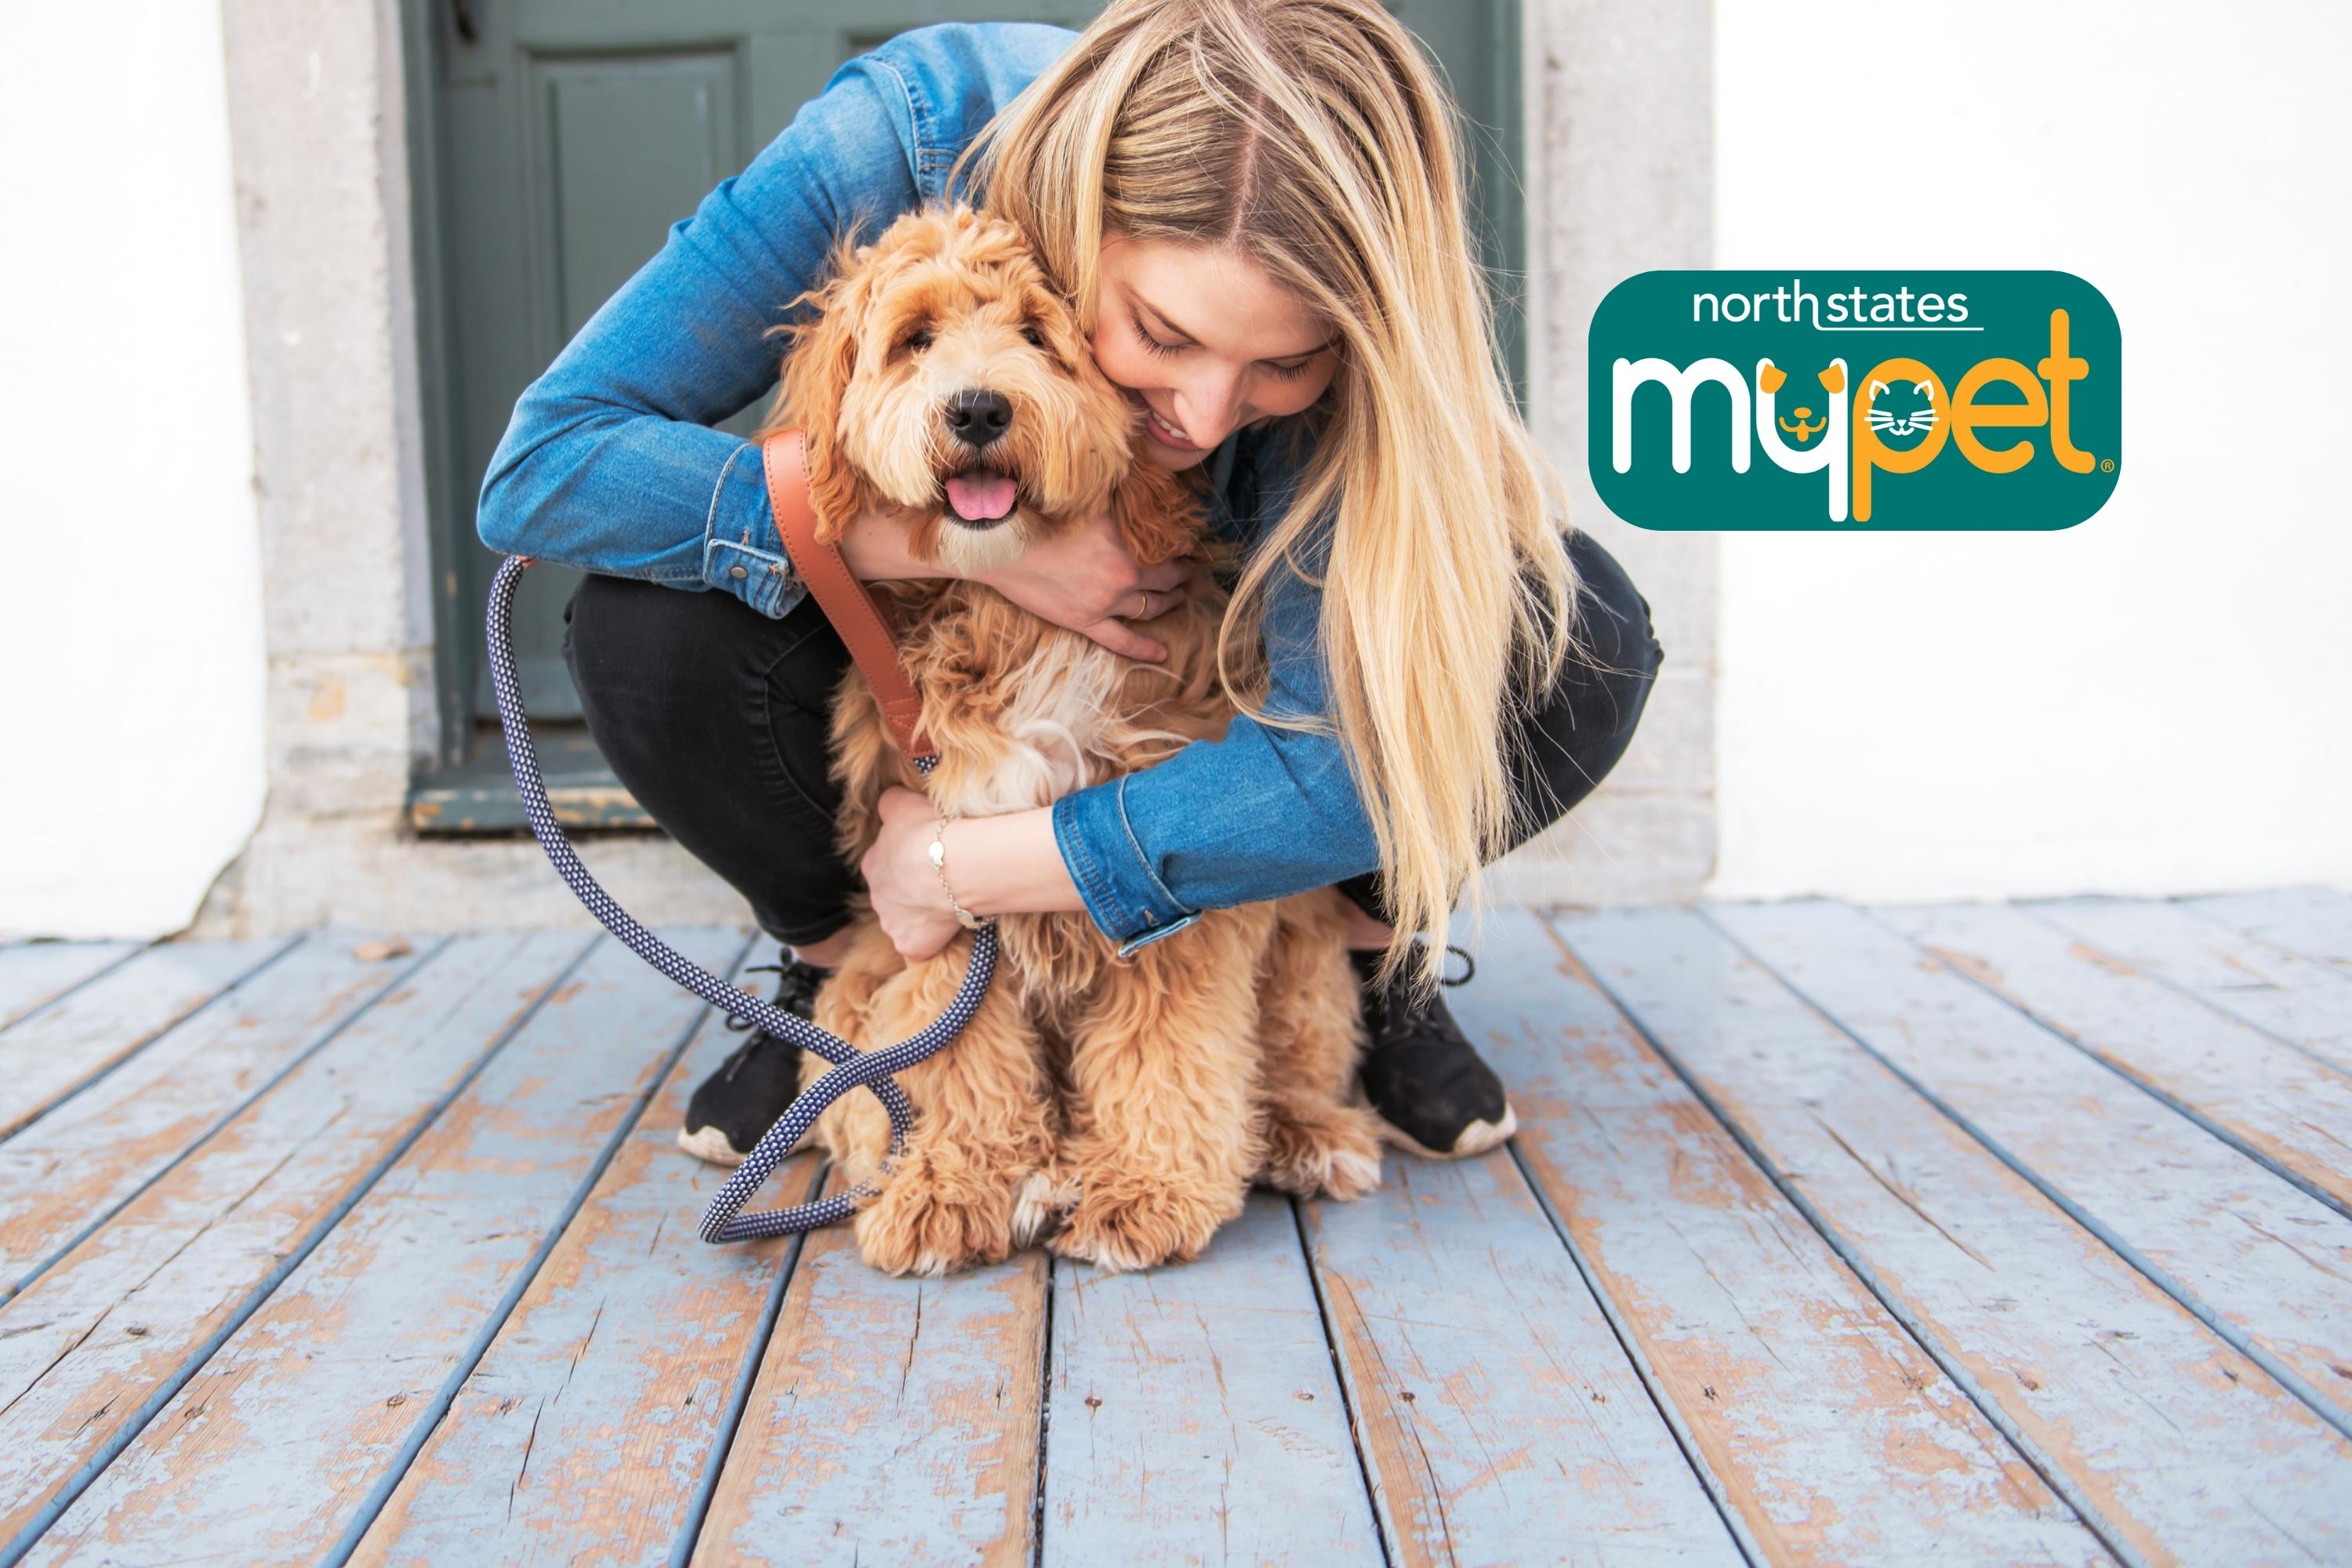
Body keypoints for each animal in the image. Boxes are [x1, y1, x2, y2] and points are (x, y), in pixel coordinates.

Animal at [757, 205, 1374, 1279]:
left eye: (1038, 336)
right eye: (916, 338)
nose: (976, 411)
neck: (1015, 612)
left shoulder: (1165, 876)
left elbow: (1169, 1047)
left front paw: (1147, 1187)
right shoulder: (932, 883)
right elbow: (952, 1051)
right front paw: (954, 1183)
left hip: (1302, 956)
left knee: (1291, 1060)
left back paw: (1307, 1132)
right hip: (854, 987)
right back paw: (1011, 1166)